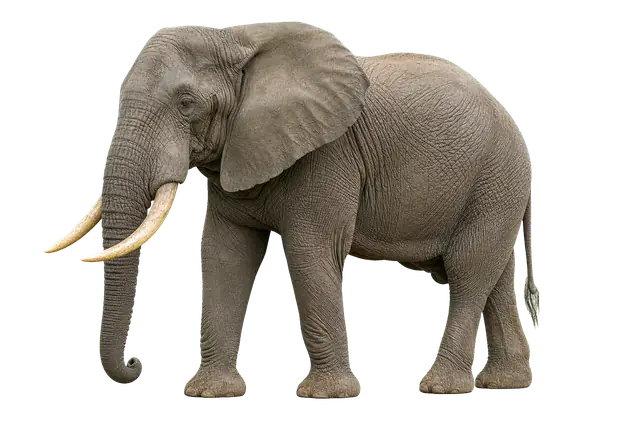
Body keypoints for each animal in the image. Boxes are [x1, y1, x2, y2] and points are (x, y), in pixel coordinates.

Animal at [42, 20, 542, 399]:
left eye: (186, 104)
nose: (137, 363)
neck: (237, 41)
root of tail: (515, 124)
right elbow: (226, 257)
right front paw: (210, 393)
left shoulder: (329, 155)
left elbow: (308, 251)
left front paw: (327, 395)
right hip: (497, 187)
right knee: (491, 277)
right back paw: (508, 382)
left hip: (496, 178)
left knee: (467, 270)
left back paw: (441, 387)